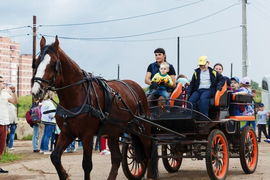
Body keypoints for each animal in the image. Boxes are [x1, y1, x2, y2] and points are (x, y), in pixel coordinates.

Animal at [31, 35, 158, 179]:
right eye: (36, 62)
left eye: (53, 64)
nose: (36, 91)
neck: (76, 95)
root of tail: (137, 88)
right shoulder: (66, 133)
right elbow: (55, 157)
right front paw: (64, 175)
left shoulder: (87, 134)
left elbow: (86, 164)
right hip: (114, 132)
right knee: (117, 158)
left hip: (143, 129)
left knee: (148, 152)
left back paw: (151, 175)